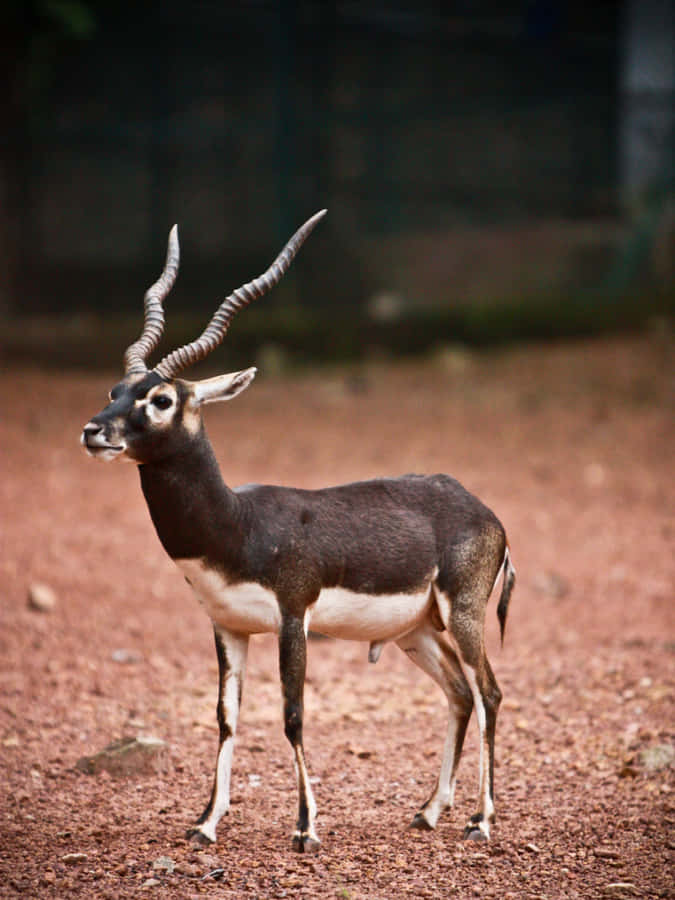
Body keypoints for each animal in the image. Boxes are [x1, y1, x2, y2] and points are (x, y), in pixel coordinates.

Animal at [81, 210, 515, 851]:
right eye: (115, 390)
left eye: (159, 399)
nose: (94, 431)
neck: (238, 525)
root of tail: (484, 510)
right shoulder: (228, 627)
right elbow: (226, 718)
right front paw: (206, 823)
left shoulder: (293, 616)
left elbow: (291, 716)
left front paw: (307, 829)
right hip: (416, 631)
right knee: (459, 695)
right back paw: (430, 811)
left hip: (462, 615)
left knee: (488, 692)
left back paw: (480, 821)